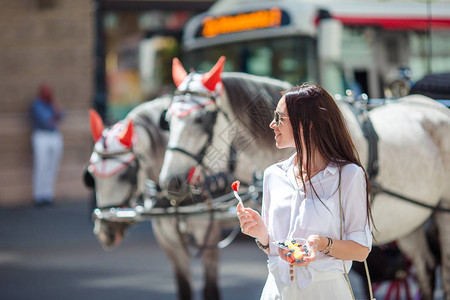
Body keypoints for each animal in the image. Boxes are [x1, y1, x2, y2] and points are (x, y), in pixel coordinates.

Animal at [83, 96, 224, 300]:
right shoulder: (170, 242)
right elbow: (184, 289)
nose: (105, 232)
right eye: (91, 176)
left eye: (126, 175)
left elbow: (211, 291)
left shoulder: (210, 237)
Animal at [160, 56, 450, 300]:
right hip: (409, 219)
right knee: (425, 268)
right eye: (168, 119)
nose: (171, 182)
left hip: (442, 213)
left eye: (202, 119)